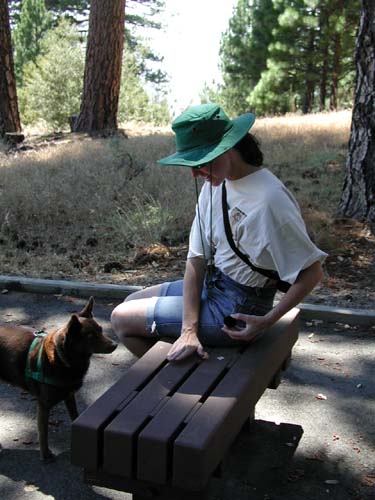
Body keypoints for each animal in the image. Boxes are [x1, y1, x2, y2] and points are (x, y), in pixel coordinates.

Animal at [0, 294, 117, 462]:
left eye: (101, 330)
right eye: (90, 336)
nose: (115, 344)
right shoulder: (43, 405)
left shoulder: (69, 395)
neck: (63, 358)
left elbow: (74, 415)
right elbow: (43, 433)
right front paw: (45, 454)